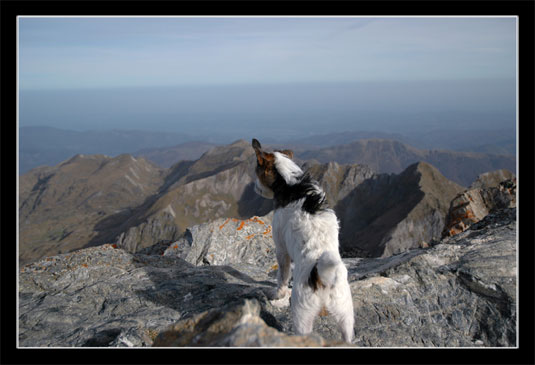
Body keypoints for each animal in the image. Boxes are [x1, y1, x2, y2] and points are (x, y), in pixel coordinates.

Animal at [252, 138, 356, 342]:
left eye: (256, 170)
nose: (254, 188)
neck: (291, 184)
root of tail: (322, 275)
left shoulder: (281, 249)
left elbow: (282, 277)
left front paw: (277, 294)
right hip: (345, 312)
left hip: (302, 314)